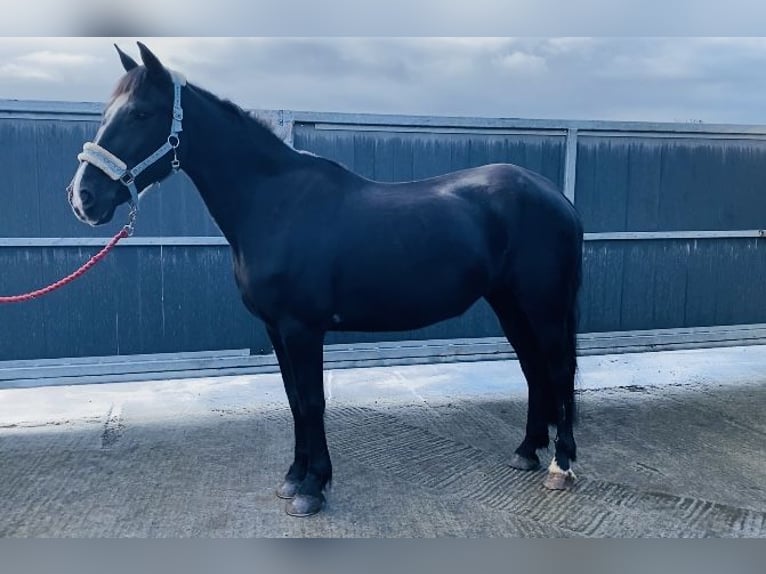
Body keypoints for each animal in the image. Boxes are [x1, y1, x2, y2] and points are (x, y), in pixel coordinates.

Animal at [69, 42, 584, 520]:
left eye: (141, 113)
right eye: (106, 113)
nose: (83, 197)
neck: (275, 204)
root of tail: (555, 197)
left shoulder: (303, 328)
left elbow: (313, 402)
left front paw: (313, 488)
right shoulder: (276, 329)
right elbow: (295, 401)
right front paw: (294, 478)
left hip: (544, 305)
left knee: (558, 370)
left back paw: (561, 466)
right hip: (509, 303)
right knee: (533, 369)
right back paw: (526, 452)